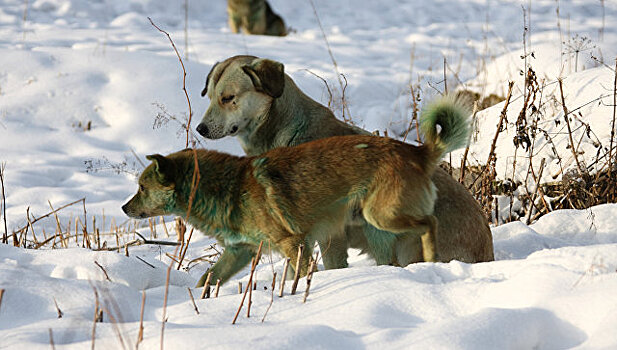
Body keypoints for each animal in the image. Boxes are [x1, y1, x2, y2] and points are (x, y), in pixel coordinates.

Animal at [195, 54, 494, 270]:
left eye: (228, 98)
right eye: (209, 97)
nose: (201, 129)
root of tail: (486, 249)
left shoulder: (330, 237)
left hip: (388, 233)